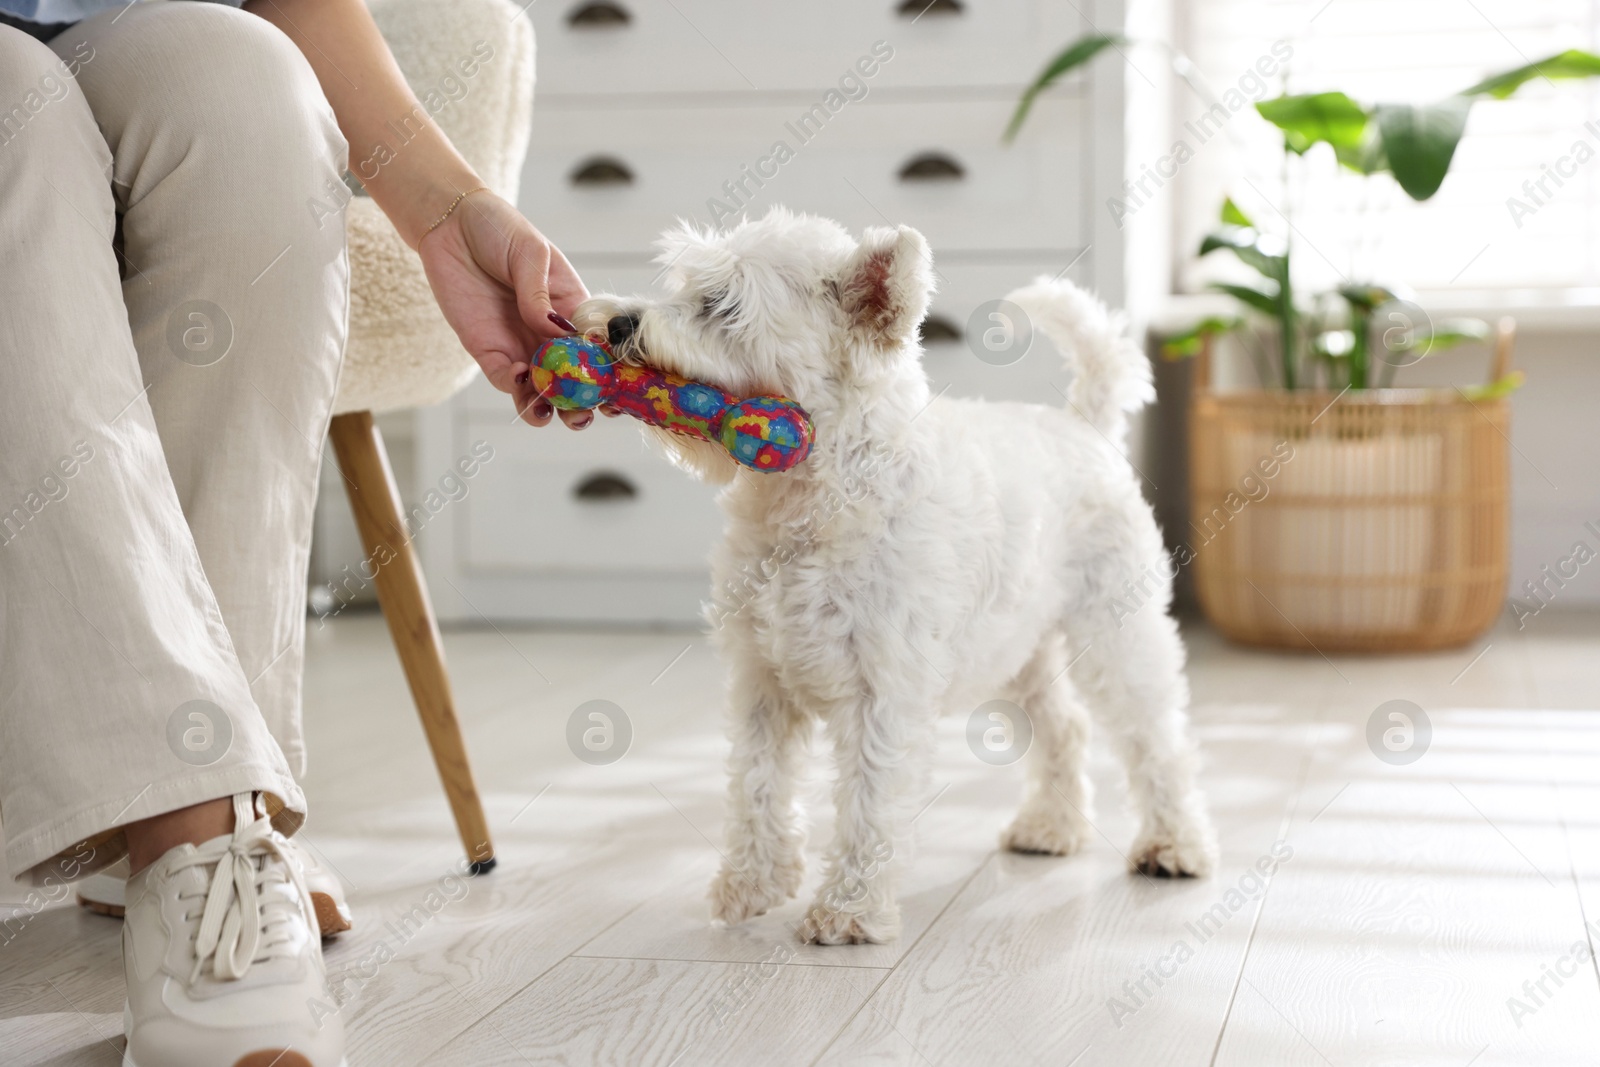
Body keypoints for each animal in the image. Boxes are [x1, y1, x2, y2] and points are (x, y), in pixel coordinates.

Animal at [582, 206, 1216, 940]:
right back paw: (1050, 828)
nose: (617, 324)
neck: (817, 502)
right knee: (1066, 727)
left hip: (1116, 635)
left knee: (1156, 738)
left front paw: (847, 913)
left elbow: (868, 801)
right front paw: (752, 884)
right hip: (1018, 650)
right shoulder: (762, 682)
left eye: (723, 304)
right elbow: (757, 785)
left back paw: (1175, 845)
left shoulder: (882, 691)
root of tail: (1085, 426)